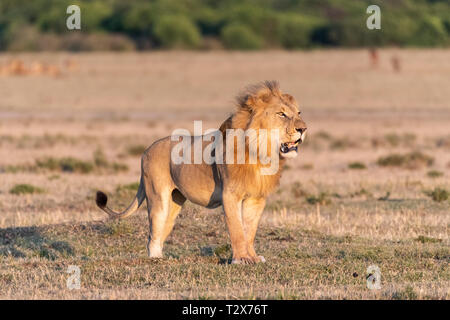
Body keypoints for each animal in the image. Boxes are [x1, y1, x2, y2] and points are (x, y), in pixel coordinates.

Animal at [94, 81, 306, 264]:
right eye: (282, 114)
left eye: (298, 112)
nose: (303, 129)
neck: (261, 151)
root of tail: (146, 150)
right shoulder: (230, 194)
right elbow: (237, 229)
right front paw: (240, 259)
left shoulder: (256, 198)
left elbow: (249, 231)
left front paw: (252, 257)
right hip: (157, 197)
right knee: (152, 233)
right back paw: (155, 259)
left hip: (175, 201)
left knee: (162, 231)